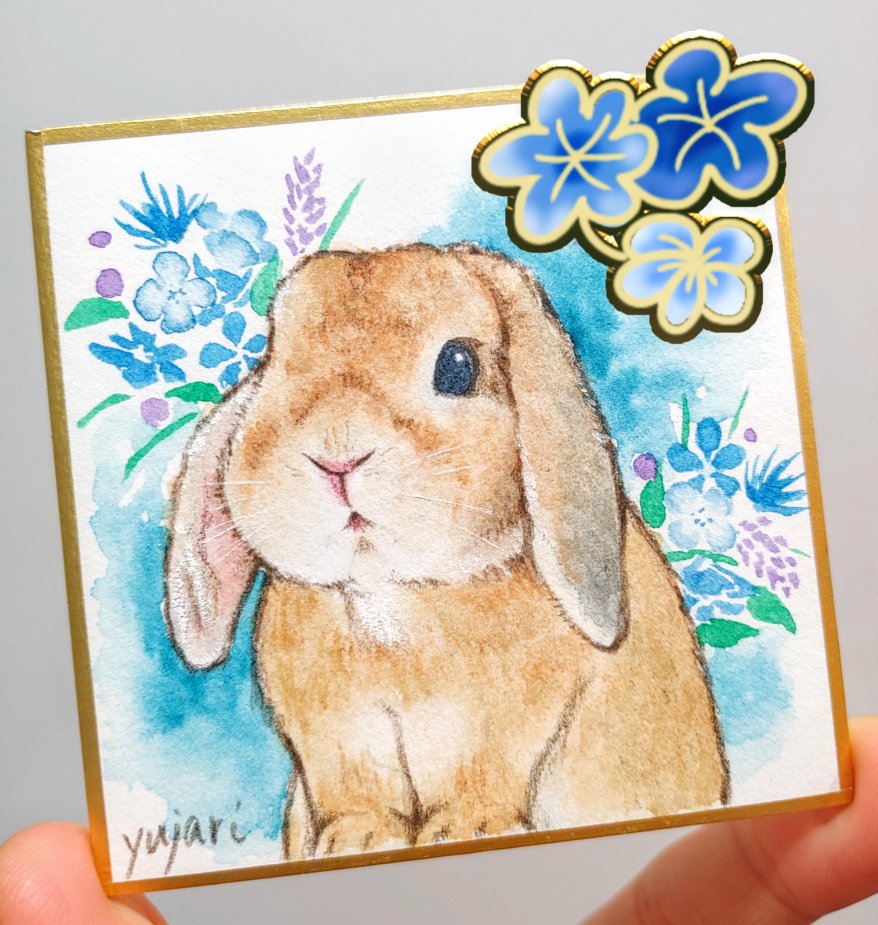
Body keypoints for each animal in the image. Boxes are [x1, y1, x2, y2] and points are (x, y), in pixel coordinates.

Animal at [164, 243, 728, 860]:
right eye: (274, 359)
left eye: (458, 366)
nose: (336, 456)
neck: (391, 597)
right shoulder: (337, 736)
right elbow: (356, 791)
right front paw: (356, 840)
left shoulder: (504, 725)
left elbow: (480, 777)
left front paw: (467, 829)